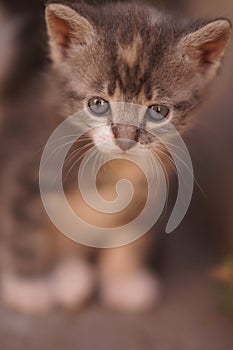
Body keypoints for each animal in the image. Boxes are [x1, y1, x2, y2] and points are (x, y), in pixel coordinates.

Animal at [0, 1, 231, 314]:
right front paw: (29, 286)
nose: (124, 138)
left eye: (158, 111)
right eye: (98, 104)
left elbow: (133, 230)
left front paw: (123, 279)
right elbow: (22, 224)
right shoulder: (23, 165)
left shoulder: (152, 184)